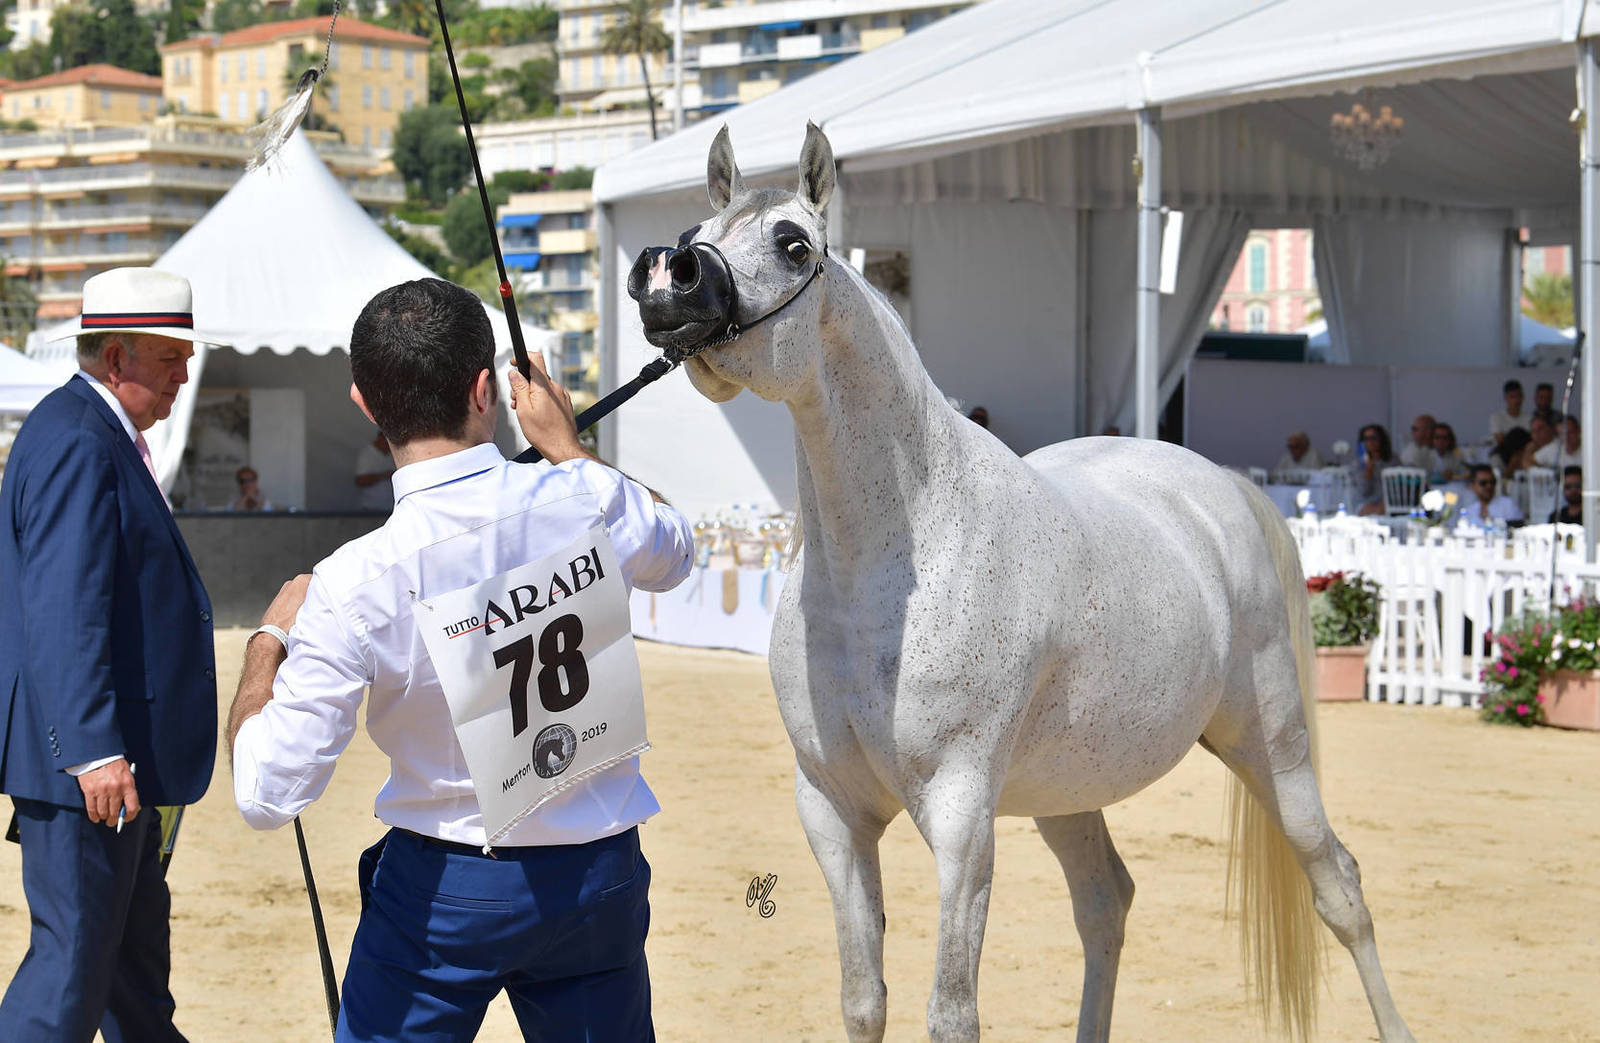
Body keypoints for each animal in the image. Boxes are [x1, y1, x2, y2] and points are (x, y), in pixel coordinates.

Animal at [627, 123, 1415, 1043]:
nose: (670, 279)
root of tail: (1216, 483)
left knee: (1340, 887)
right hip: (1071, 785)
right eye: (695, 233)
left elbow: (951, 1013)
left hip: (1273, 742)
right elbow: (864, 1001)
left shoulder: (962, 819)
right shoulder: (831, 812)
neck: (891, 572)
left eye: (793, 244)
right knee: (1107, 901)